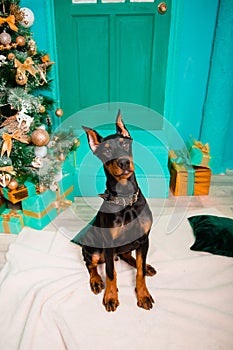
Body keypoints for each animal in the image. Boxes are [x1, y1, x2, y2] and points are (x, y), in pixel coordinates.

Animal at [72, 110, 156, 310]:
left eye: (125, 143)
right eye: (106, 150)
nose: (124, 162)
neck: (126, 200)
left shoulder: (144, 239)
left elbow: (139, 271)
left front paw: (143, 295)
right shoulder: (109, 245)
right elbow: (111, 273)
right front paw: (110, 297)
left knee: (130, 257)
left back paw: (147, 266)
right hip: (93, 250)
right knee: (91, 265)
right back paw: (96, 280)